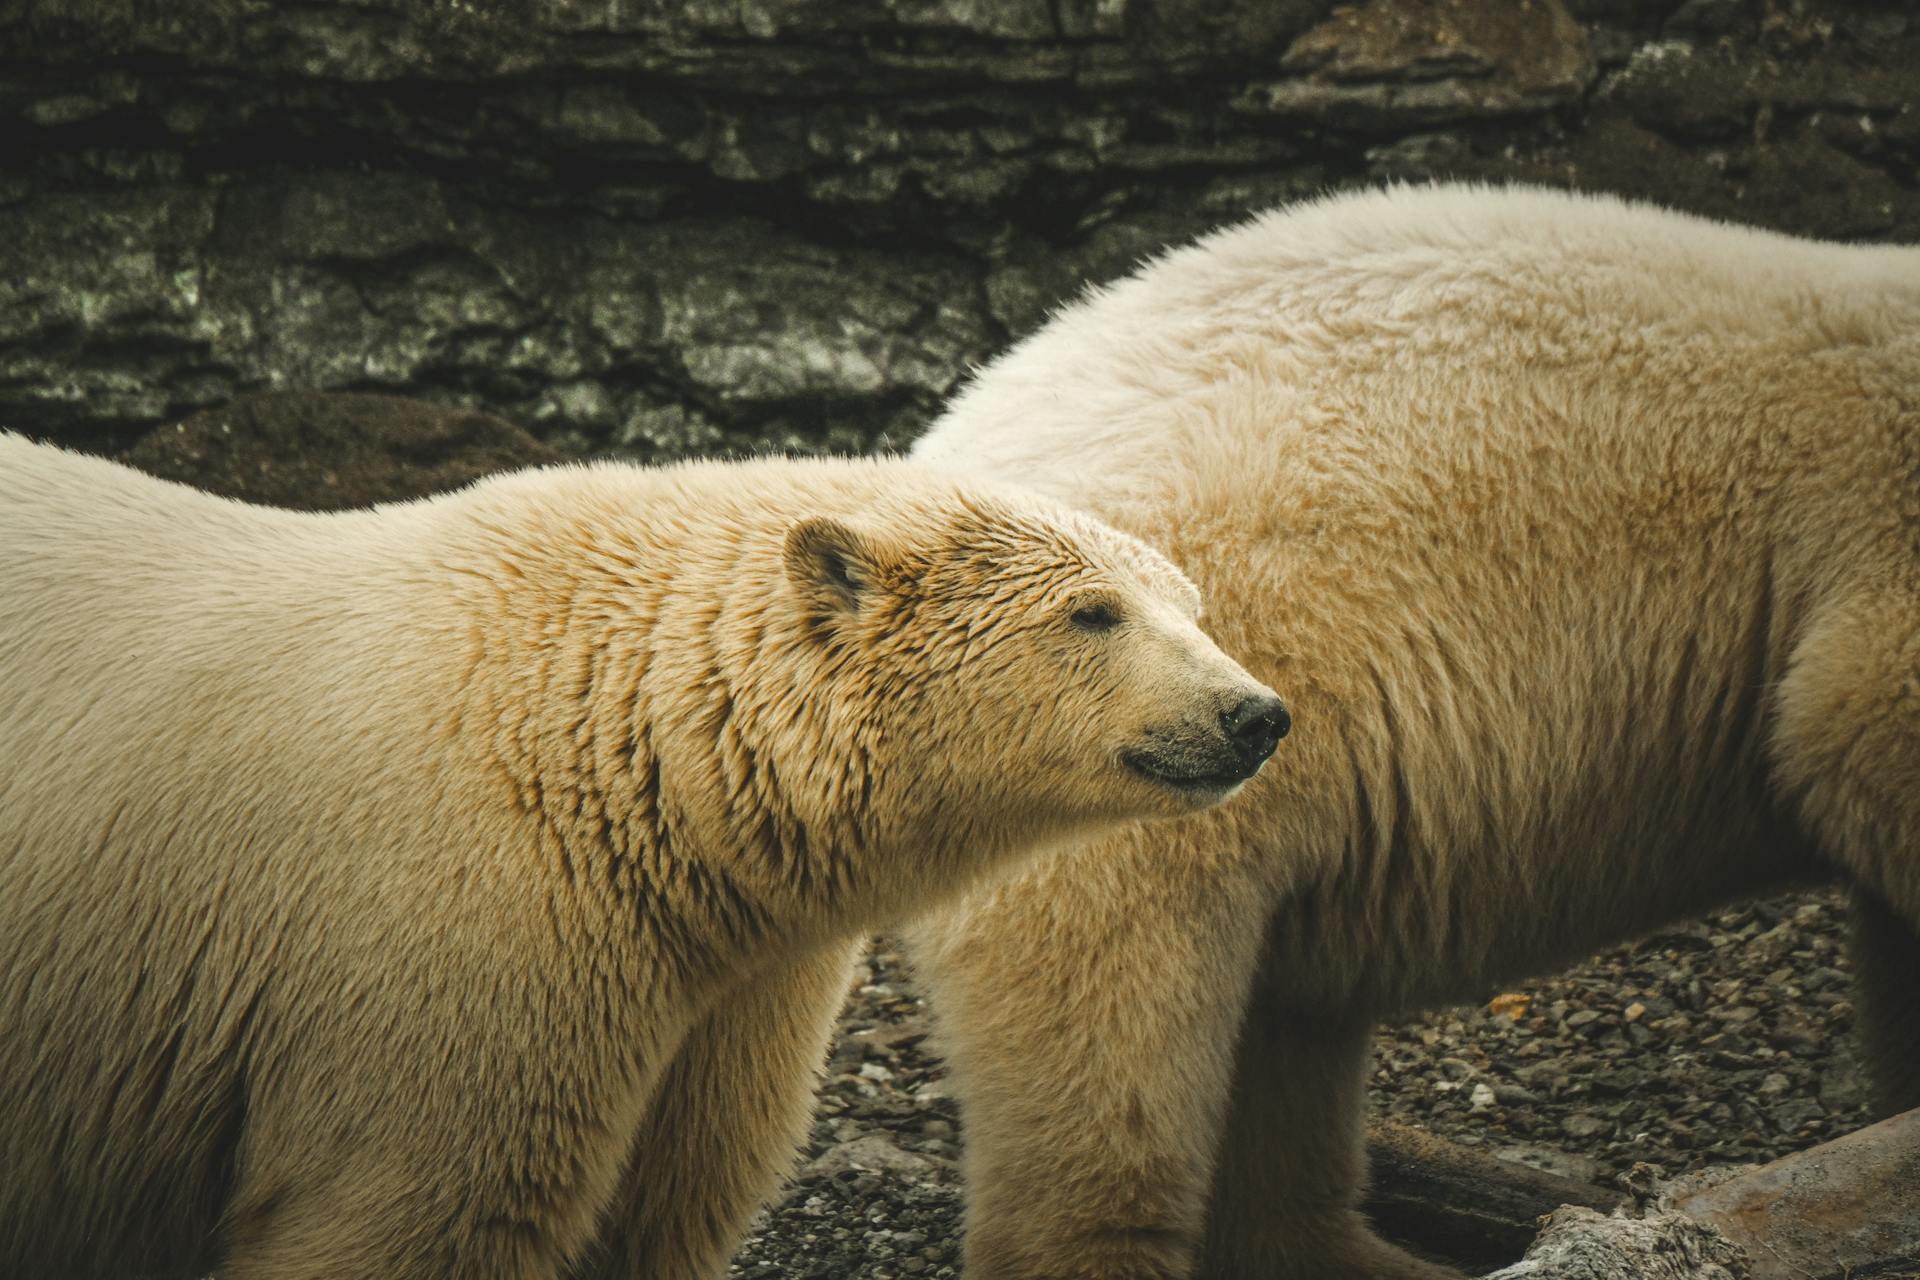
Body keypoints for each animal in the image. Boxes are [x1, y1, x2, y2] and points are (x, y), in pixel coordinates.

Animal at [0, 441, 1290, 1280]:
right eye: (1092, 612)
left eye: (1192, 603)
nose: (1254, 714)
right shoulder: (452, 935)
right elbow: (418, 1210)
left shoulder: (722, 991)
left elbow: (663, 1203)